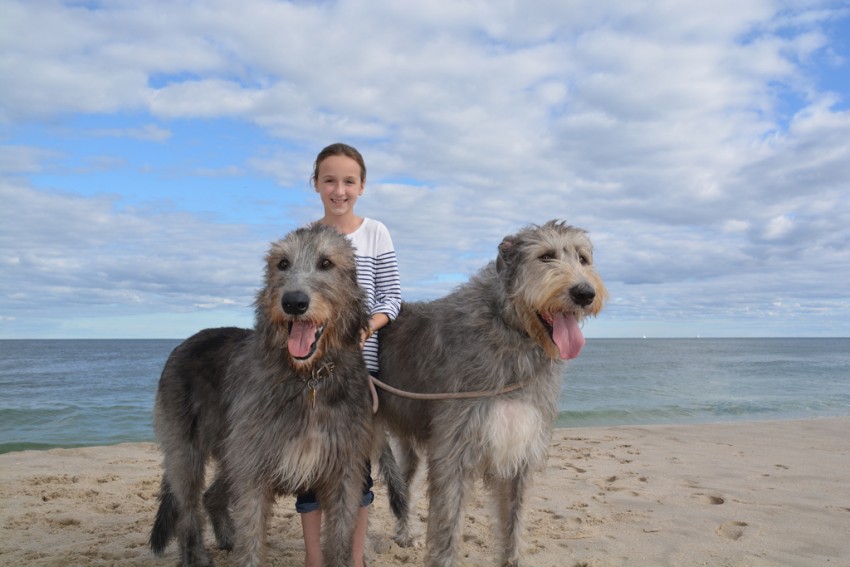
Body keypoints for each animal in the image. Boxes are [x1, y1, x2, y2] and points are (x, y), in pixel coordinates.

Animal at [148, 225, 372, 567]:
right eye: (282, 263)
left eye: (326, 263)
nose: (294, 302)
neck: (308, 380)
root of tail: (182, 344)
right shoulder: (254, 470)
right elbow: (252, 537)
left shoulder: (344, 472)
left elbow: (340, 539)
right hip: (188, 447)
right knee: (187, 508)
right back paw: (194, 555)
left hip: (230, 446)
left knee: (210, 496)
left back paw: (226, 538)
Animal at [376, 221, 604, 567]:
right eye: (546, 256)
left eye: (583, 258)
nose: (585, 293)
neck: (512, 334)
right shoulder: (454, 448)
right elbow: (448, 525)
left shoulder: (520, 446)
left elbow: (514, 520)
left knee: (406, 478)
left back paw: (405, 534)